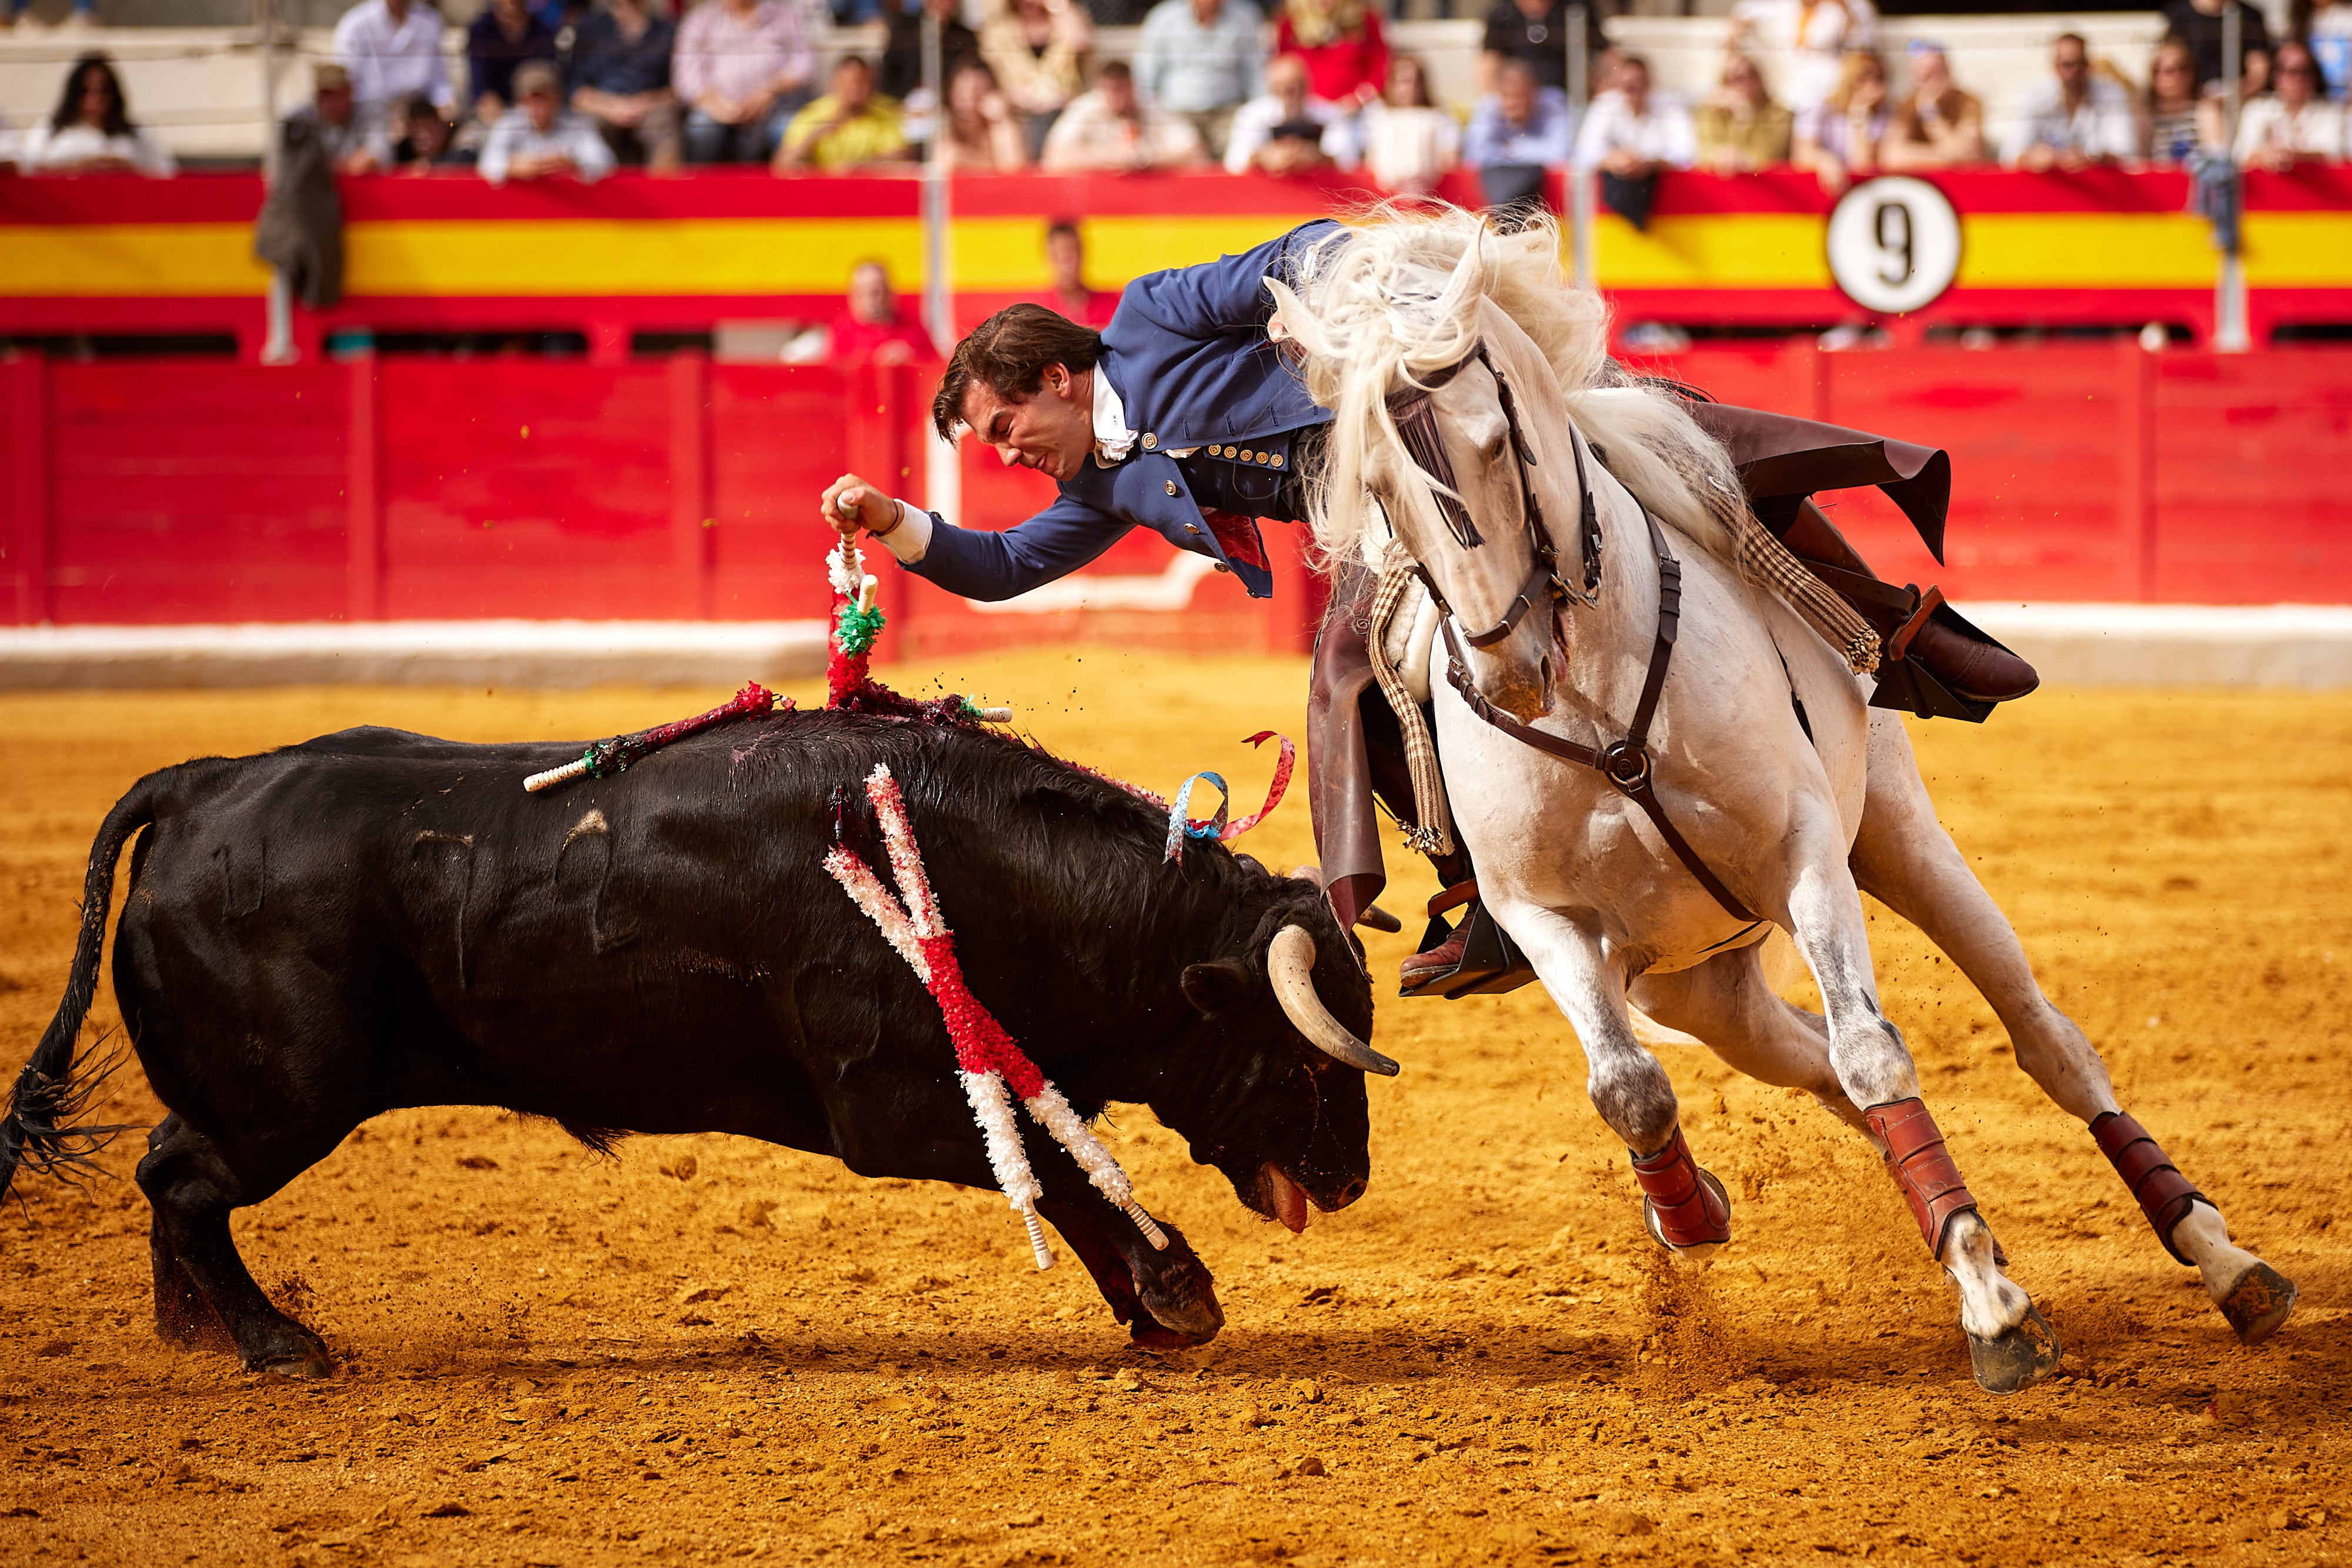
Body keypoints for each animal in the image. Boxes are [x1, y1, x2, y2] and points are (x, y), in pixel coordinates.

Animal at [0, 710, 1374, 1373]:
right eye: (1305, 1056)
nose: (1353, 1178)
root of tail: (203, 781)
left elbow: (1058, 1157)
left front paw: (1155, 1304)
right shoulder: (893, 1102)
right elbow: (1051, 1166)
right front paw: (1178, 1292)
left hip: (251, 1090)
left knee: (171, 1174)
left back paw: (197, 1328)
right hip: (285, 1094)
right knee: (183, 1180)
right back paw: (280, 1343)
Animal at [1270, 211, 2296, 1401]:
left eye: (1495, 439)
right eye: (1375, 486)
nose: (1510, 671)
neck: (1598, 700)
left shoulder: (1805, 854)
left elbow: (1875, 1051)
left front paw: (1997, 1313)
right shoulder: (1540, 915)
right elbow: (1632, 1087)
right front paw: (1691, 1214)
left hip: (1899, 835)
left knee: (2042, 1040)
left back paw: (2224, 1259)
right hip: (1700, 983)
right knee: (1809, 1062)